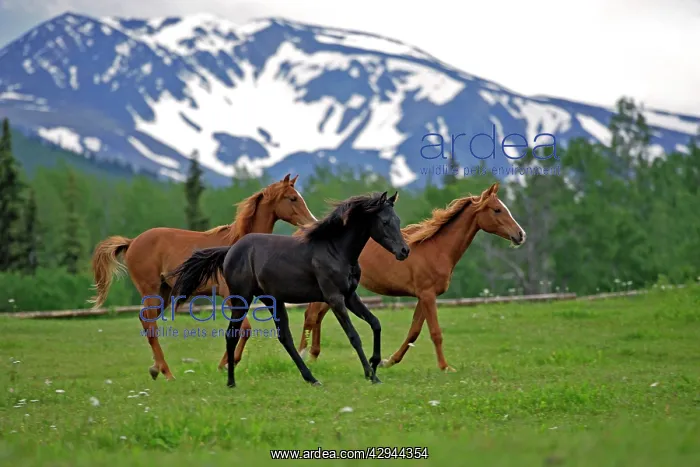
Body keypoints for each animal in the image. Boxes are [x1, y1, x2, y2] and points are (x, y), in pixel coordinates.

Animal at [88, 174, 317, 381]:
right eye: (292, 198)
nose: (312, 223)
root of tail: (132, 241)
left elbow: (245, 330)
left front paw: (226, 364)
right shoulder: (231, 296)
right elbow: (244, 329)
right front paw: (225, 365)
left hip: (165, 293)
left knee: (146, 321)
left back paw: (156, 369)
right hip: (151, 290)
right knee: (150, 325)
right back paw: (167, 373)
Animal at [168, 191, 410, 387]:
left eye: (398, 220)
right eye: (385, 221)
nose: (404, 251)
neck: (336, 250)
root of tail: (230, 250)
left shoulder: (350, 296)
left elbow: (375, 324)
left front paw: (375, 364)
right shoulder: (334, 298)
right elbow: (354, 335)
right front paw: (371, 374)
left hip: (272, 300)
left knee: (284, 337)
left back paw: (311, 378)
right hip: (242, 299)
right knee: (232, 334)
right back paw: (231, 382)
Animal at [226, 182, 525, 372]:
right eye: (497, 210)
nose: (520, 235)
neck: (436, 248)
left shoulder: (422, 296)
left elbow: (414, 331)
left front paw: (386, 361)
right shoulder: (427, 295)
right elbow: (435, 332)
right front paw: (445, 367)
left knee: (316, 316)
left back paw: (312, 355)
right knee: (312, 316)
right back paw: (306, 356)